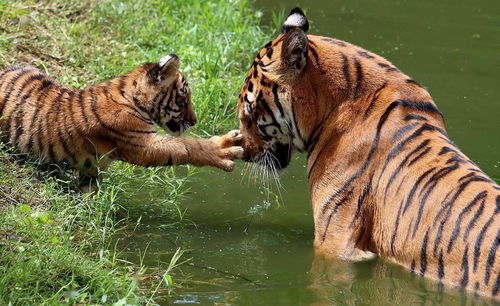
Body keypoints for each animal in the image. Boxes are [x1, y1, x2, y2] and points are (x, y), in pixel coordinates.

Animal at [0, 53, 242, 180]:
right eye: (183, 100)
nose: (195, 121)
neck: (131, 96)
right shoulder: (141, 142)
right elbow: (186, 147)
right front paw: (224, 148)